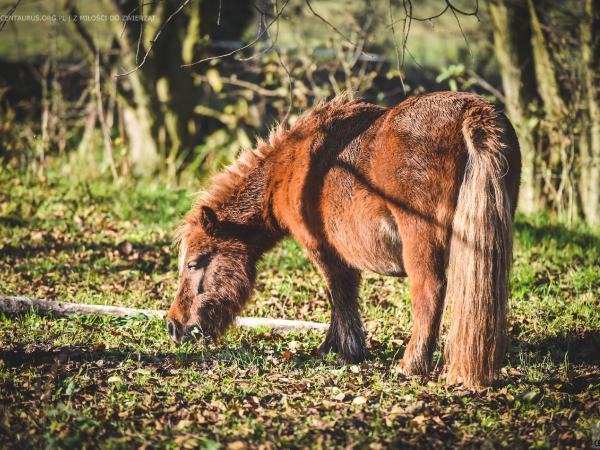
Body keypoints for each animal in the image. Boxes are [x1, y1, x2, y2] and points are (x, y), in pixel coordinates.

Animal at [165, 91, 520, 386]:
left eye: (193, 264)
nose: (173, 326)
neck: (290, 167)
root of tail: (471, 112)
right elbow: (344, 296)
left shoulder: (323, 250)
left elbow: (340, 295)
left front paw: (343, 349)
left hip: (422, 245)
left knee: (429, 292)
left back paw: (410, 365)